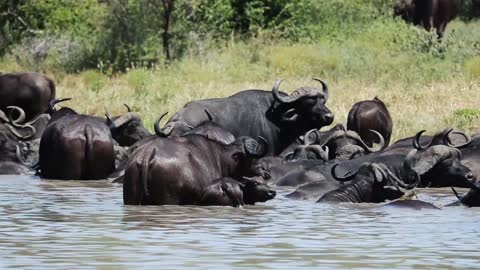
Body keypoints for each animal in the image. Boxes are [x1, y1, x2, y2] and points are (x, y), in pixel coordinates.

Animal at [123, 134, 266, 206]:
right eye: (255, 160)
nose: (264, 173)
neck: (221, 158)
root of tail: (148, 153)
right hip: (168, 199)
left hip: (131, 198)